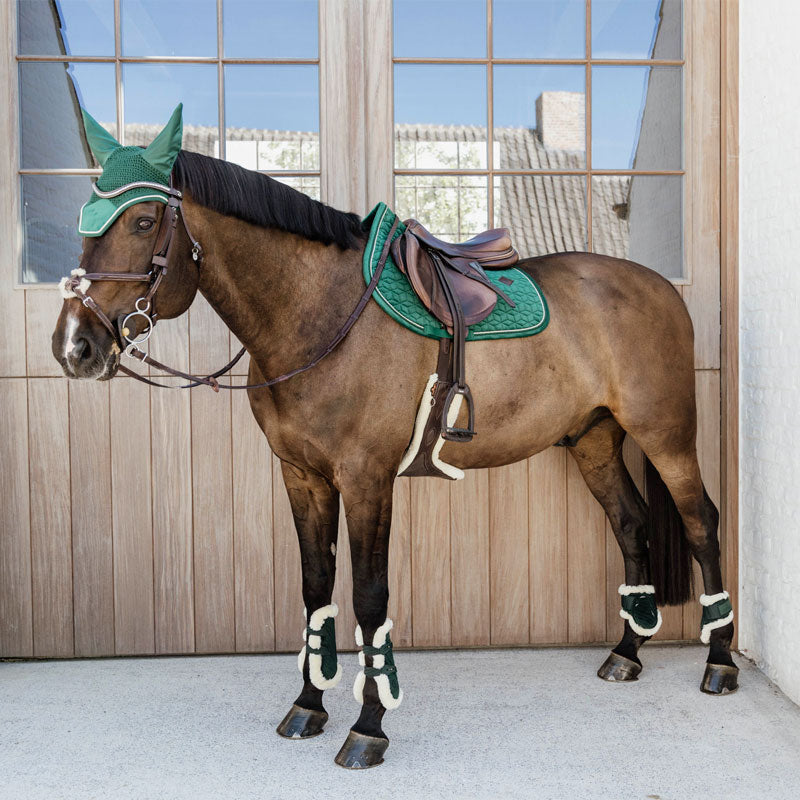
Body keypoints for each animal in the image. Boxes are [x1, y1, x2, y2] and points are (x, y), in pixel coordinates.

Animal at [52, 147, 737, 769]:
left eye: (144, 222)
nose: (74, 346)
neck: (317, 316)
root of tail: (659, 289)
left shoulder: (366, 480)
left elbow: (369, 597)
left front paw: (368, 728)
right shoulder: (302, 476)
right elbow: (316, 587)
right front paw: (308, 706)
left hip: (667, 435)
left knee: (701, 522)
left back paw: (720, 662)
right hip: (594, 441)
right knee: (631, 523)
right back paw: (626, 655)